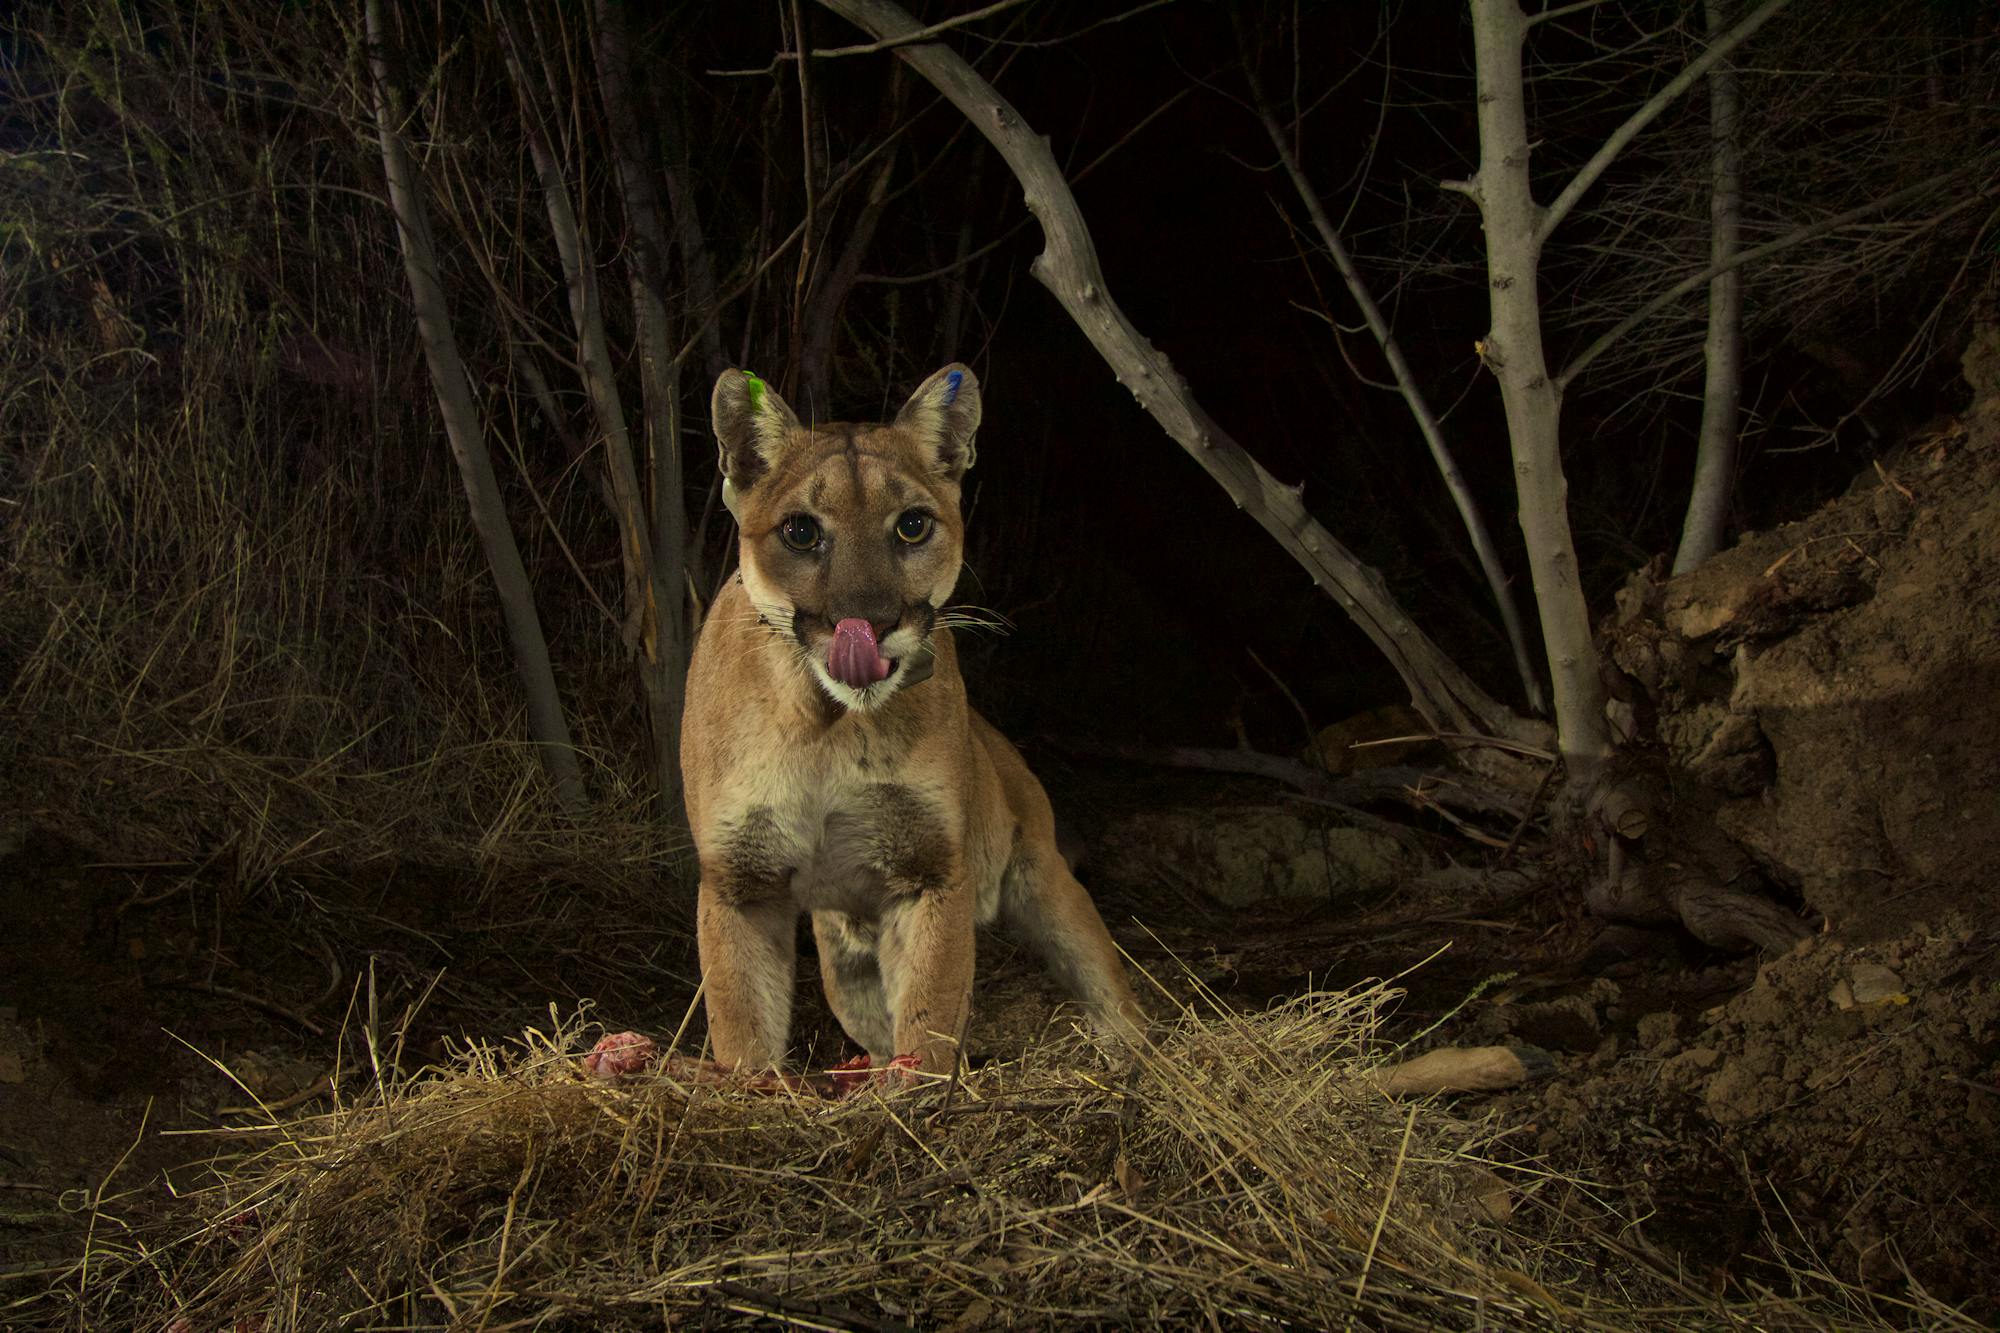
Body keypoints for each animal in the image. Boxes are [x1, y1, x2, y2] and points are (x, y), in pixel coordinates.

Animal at [680, 364, 1144, 1080]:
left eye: (913, 526)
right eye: (801, 532)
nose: (869, 621)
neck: (826, 725)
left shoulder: (931, 870)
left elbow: (930, 1011)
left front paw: (923, 1090)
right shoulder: (740, 882)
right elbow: (742, 1021)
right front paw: (749, 1087)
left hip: (1046, 882)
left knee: (1112, 989)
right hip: (845, 964)